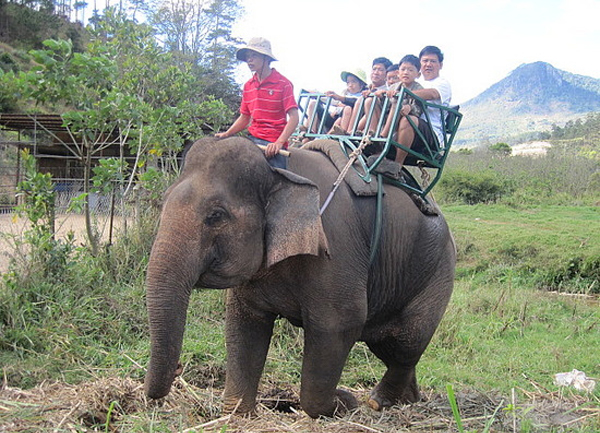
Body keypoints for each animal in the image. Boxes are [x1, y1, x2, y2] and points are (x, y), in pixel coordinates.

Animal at [143, 136, 455, 418]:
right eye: (163, 202)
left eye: (216, 215)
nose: (179, 369)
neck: (279, 171)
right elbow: (243, 324)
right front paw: (237, 414)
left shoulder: (336, 245)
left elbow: (339, 324)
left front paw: (344, 403)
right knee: (389, 348)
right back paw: (408, 400)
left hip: (437, 272)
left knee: (407, 344)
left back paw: (378, 402)